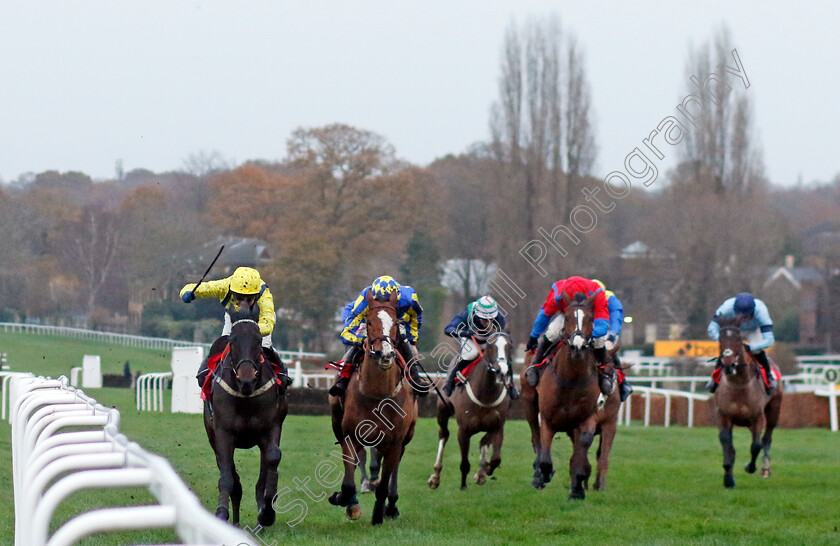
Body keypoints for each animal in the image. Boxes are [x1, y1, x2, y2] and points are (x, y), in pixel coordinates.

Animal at [203, 306, 288, 524]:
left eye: (258, 340)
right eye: (232, 341)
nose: (246, 379)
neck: (246, 396)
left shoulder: (271, 428)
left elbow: (273, 458)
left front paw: (267, 513)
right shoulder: (223, 434)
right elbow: (228, 479)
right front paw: (221, 513)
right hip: (212, 436)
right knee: (233, 479)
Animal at [328, 288, 420, 524]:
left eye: (395, 322)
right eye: (368, 322)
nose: (384, 353)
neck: (378, 394)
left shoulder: (395, 442)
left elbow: (385, 481)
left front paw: (379, 514)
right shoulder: (351, 435)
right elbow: (348, 481)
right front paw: (348, 502)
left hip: (406, 437)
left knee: (394, 468)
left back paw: (392, 505)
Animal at [426, 332, 512, 488]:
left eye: (510, 346)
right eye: (491, 346)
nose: (501, 371)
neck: (486, 395)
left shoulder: (497, 426)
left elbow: (496, 458)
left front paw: (486, 470)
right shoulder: (463, 431)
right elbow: (465, 463)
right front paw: (463, 486)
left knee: (484, 441)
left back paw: (481, 473)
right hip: (442, 411)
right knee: (444, 435)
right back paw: (435, 476)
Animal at [520, 292, 620, 500]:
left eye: (590, 318)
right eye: (566, 318)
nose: (578, 346)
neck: (571, 379)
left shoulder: (589, 419)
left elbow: (582, 450)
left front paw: (578, 488)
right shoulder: (548, 419)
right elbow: (545, 456)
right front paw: (544, 475)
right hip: (529, 402)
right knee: (535, 436)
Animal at [712, 314, 784, 488]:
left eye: (738, 338)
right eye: (720, 338)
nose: (729, 364)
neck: (739, 384)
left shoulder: (758, 417)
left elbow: (756, 445)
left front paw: (749, 467)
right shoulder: (723, 415)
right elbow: (726, 442)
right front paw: (728, 478)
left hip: (774, 410)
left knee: (766, 439)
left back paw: (765, 469)